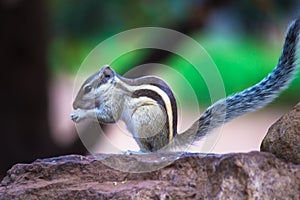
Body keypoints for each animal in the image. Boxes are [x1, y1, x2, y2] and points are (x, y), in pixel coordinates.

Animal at [71, 18, 300, 152]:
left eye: (88, 88)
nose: (73, 105)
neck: (112, 87)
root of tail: (171, 141)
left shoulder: (116, 102)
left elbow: (108, 116)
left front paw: (80, 115)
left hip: (142, 119)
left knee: (153, 152)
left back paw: (136, 151)